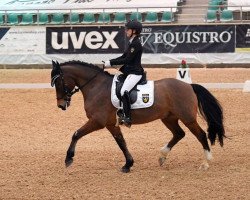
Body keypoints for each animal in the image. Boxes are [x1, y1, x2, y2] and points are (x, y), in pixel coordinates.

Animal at [50, 60, 227, 173]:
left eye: (58, 82)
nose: (61, 105)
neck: (96, 86)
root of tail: (189, 86)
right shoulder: (111, 124)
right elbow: (121, 143)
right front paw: (128, 164)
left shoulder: (98, 121)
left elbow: (76, 134)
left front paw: (68, 159)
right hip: (168, 118)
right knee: (179, 134)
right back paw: (162, 156)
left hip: (187, 118)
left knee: (201, 135)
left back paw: (206, 163)